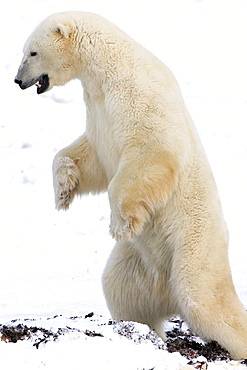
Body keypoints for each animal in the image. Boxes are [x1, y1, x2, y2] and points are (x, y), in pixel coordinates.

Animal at [14, 11, 247, 358]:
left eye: (32, 52)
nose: (18, 81)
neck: (109, 68)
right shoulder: (98, 110)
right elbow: (91, 155)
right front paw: (63, 188)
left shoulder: (139, 96)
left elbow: (151, 152)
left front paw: (121, 223)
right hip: (140, 263)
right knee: (122, 290)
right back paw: (141, 331)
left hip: (193, 247)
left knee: (206, 300)